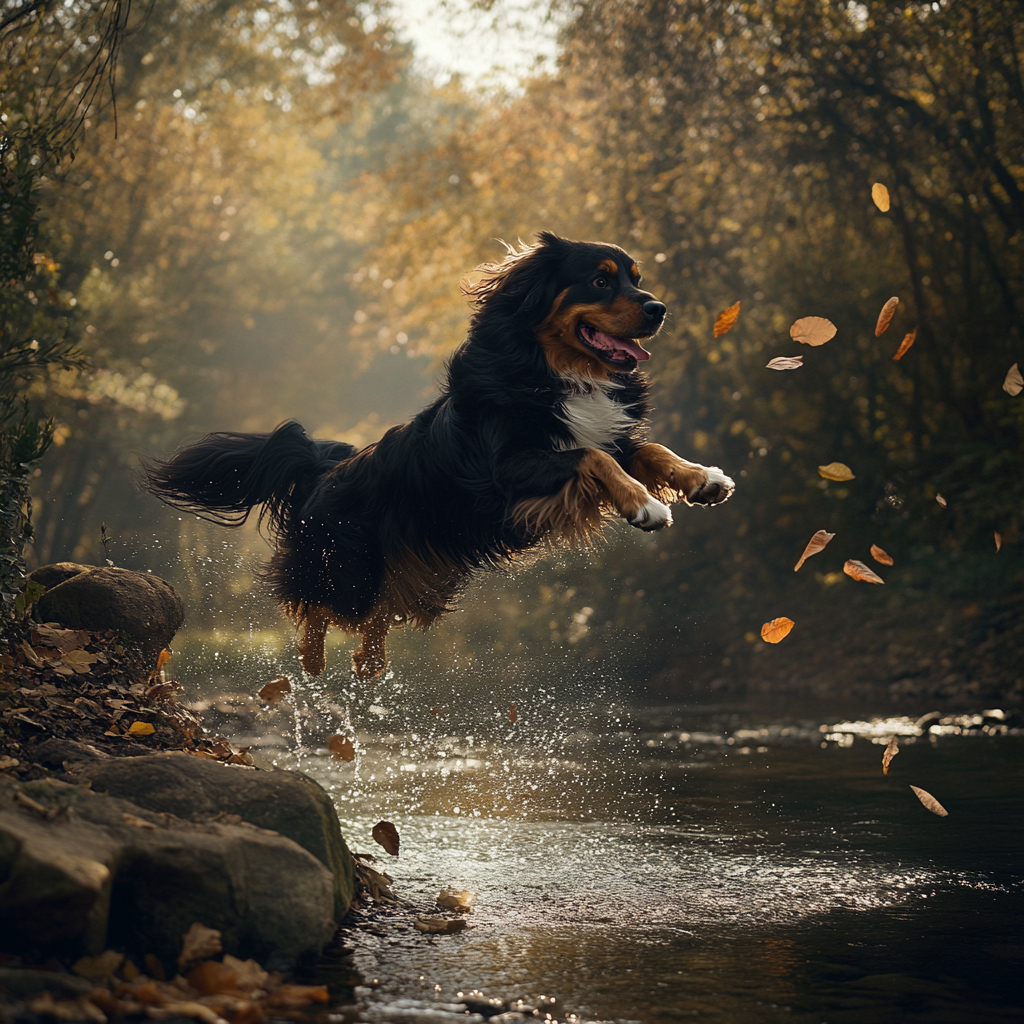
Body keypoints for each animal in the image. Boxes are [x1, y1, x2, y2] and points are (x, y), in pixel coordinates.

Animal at [144, 233, 737, 679]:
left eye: (635, 277)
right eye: (600, 279)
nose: (659, 309)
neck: (556, 371)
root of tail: (325, 468)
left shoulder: (605, 439)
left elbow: (644, 448)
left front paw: (702, 478)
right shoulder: (508, 472)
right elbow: (593, 457)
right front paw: (645, 507)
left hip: (420, 570)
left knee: (374, 616)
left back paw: (369, 664)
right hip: (349, 562)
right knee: (317, 602)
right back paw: (312, 660)